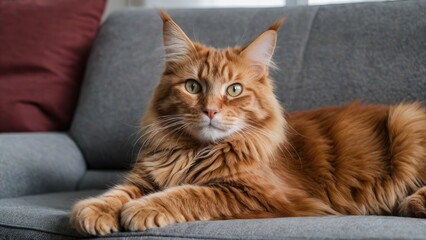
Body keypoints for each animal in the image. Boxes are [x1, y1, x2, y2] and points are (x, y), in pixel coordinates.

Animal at [70, 9, 426, 236]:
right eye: (193, 87)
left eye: (234, 89)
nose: (210, 111)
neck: (195, 151)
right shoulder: (146, 175)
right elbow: (117, 192)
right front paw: (93, 211)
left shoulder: (259, 194)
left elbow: (189, 193)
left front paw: (140, 209)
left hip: (404, 120)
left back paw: (414, 203)